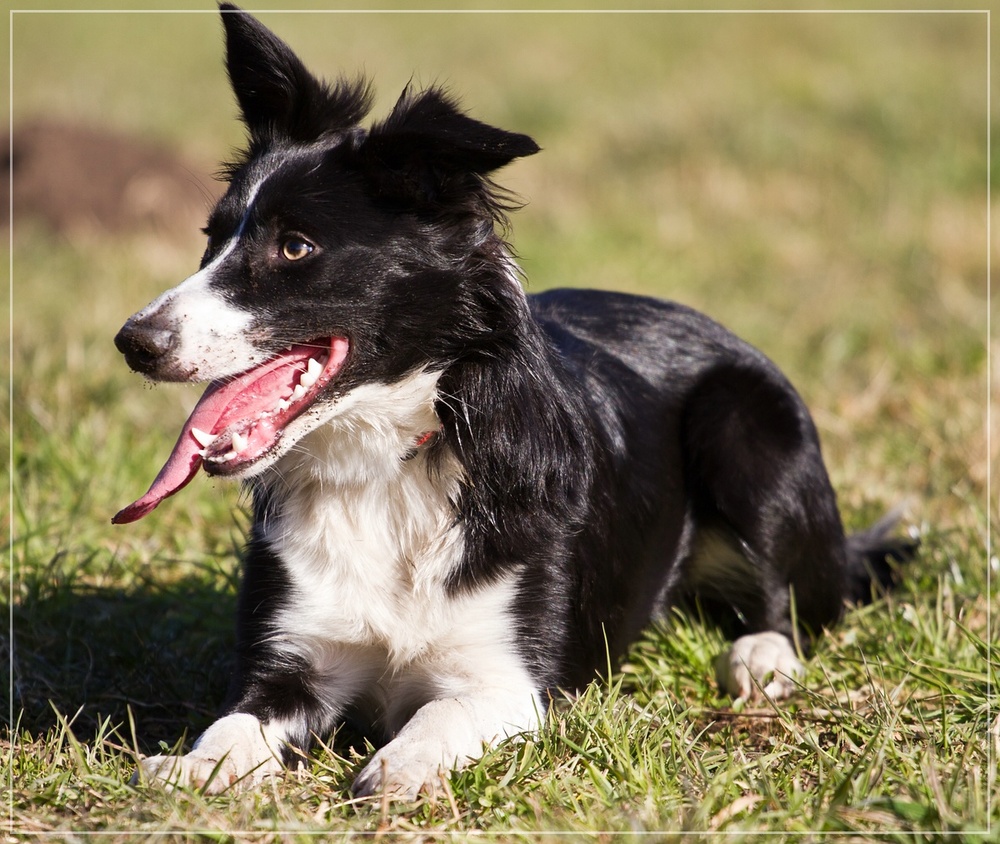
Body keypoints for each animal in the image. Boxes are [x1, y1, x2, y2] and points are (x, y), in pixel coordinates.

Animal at [113, 4, 916, 796]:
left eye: (295, 247)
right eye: (211, 236)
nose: (133, 342)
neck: (390, 464)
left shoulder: (512, 679)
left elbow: (438, 715)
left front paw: (399, 766)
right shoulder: (289, 662)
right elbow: (231, 727)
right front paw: (188, 767)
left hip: (746, 431)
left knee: (798, 601)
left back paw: (761, 656)